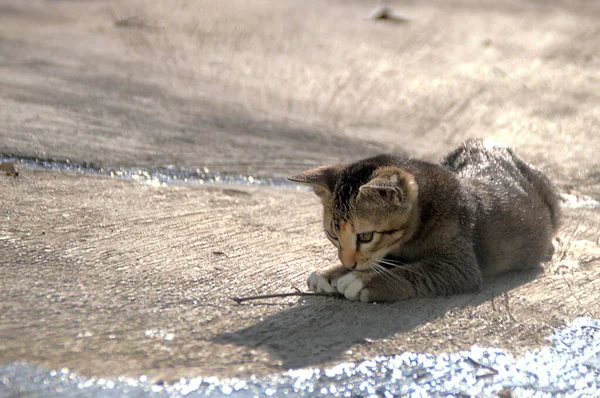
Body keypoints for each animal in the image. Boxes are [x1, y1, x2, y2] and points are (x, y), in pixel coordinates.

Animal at [288, 139, 560, 302]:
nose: (348, 263)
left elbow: (410, 271)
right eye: (333, 236)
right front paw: (331, 272)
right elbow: (383, 261)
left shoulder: (459, 266)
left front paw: (362, 280)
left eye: (365, 236)